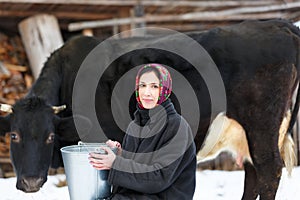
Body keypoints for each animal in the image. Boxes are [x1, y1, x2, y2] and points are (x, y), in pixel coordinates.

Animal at [0, 19, 298, 200]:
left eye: (50, 136)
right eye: (14, 135)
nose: (30, 182)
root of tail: (278, 24)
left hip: (261, 124)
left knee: (268, 169)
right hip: (249, 134)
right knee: (252, 172)